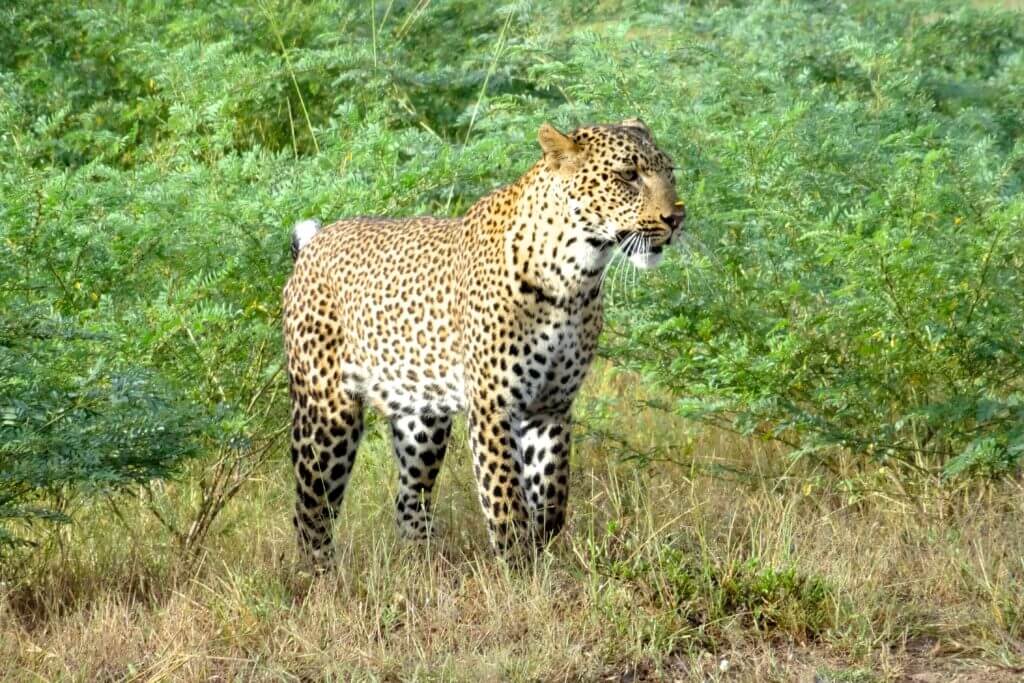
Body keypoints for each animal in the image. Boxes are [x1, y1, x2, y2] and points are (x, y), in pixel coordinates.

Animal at [284, 118, 684, 565]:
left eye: (669, 172)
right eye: (628, 176)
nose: (676, 217)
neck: (575, 278)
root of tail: (315, 243)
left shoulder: (550, 407)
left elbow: (552, 497)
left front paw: (540, 551)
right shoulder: (494, 405)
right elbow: (505, 500)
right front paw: (519, 570)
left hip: (421, 416)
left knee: (408, 500)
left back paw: (427, 564)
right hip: (326, 410)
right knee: (312, 505)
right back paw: (321, 573)